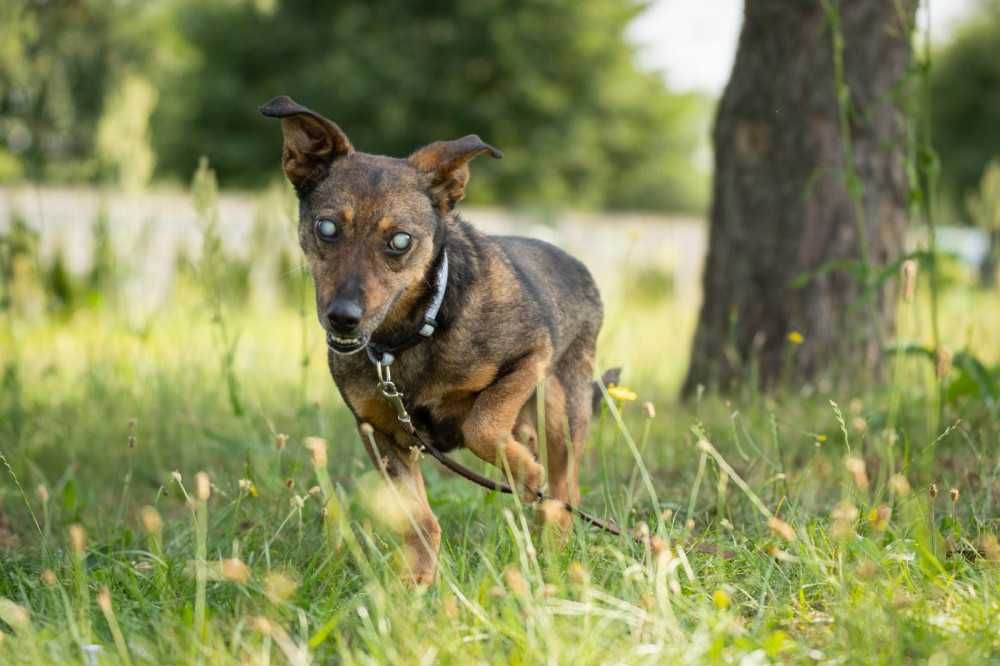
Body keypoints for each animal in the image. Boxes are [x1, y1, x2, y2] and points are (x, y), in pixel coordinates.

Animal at [262, 96, 608, 584]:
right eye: (326, 229)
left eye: (400, 241)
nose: (343, 318)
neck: (411, 335)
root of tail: (576, 263)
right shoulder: (382, 434)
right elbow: (417, 518)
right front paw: (416, 581)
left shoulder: (531, 355)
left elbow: (481, 424)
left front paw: (522, 470)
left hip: (559, 407)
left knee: (563, 493)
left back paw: (553, 553)